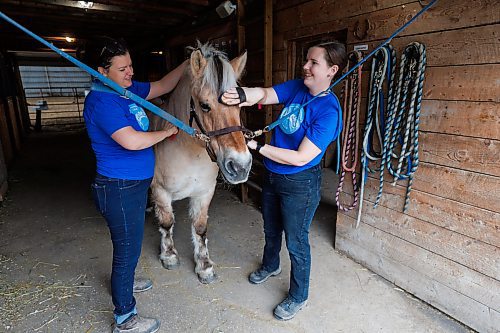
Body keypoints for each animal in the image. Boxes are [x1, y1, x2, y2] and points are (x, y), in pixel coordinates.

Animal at [147, 41, 250, 282]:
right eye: (204, 105)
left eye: (240, 106)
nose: (240, 167)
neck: (189, 154)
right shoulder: (160, 191)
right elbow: (167, 222)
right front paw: (169, 255)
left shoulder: (204, 192)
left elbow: (200, 228)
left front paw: (204, 266)